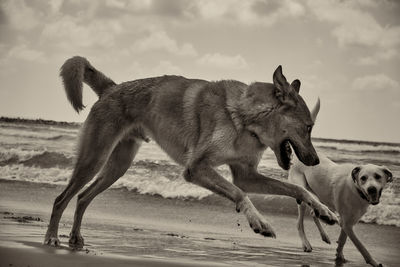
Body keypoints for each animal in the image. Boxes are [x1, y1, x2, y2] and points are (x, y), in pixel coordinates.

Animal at [288, 101, 394, 266]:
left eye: (378, 176)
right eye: (363, 178)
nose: (371, 189)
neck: (357, 191)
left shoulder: (348, 221)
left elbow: (343, 240)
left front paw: (340, 255)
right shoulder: (347, 224)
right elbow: (361, 246)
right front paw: (374, 262)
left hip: (319, 197)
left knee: (314, 212)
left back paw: (325, 235)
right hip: (302, 193)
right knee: (300, 223)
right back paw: (306, 244)